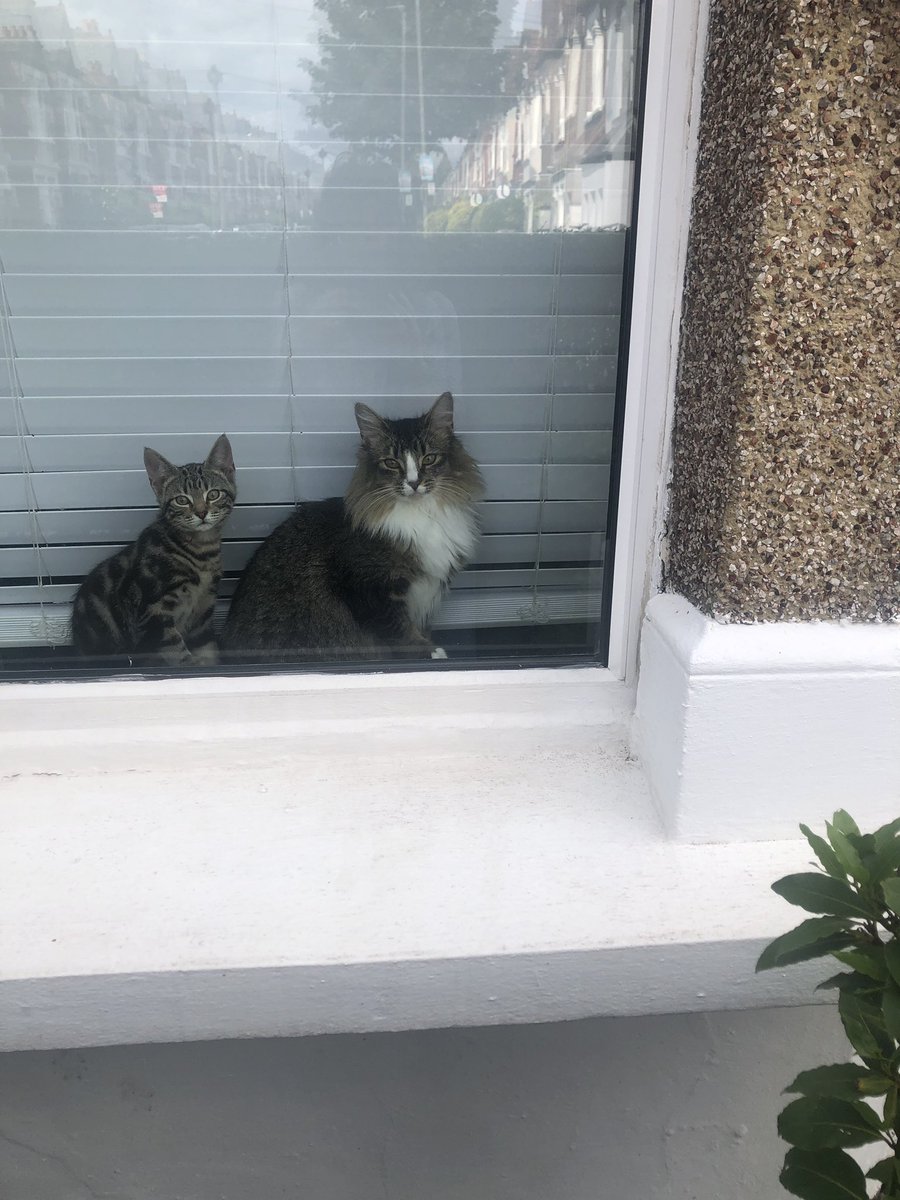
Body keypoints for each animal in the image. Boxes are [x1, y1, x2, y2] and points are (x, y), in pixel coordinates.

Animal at [71, 436, 236, 667]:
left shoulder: (203, 613)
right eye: (182, 500)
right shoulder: (153, 612)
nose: (202, 512)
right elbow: (178, 653)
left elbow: (207, 649)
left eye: (213, 494)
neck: (201, 551)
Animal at [222, 393, 482, 662]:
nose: (413, 482)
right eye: (391, 463)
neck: (423, 514)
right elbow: (400, 631)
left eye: (429, 458)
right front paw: (431, 652)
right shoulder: (371, 589)